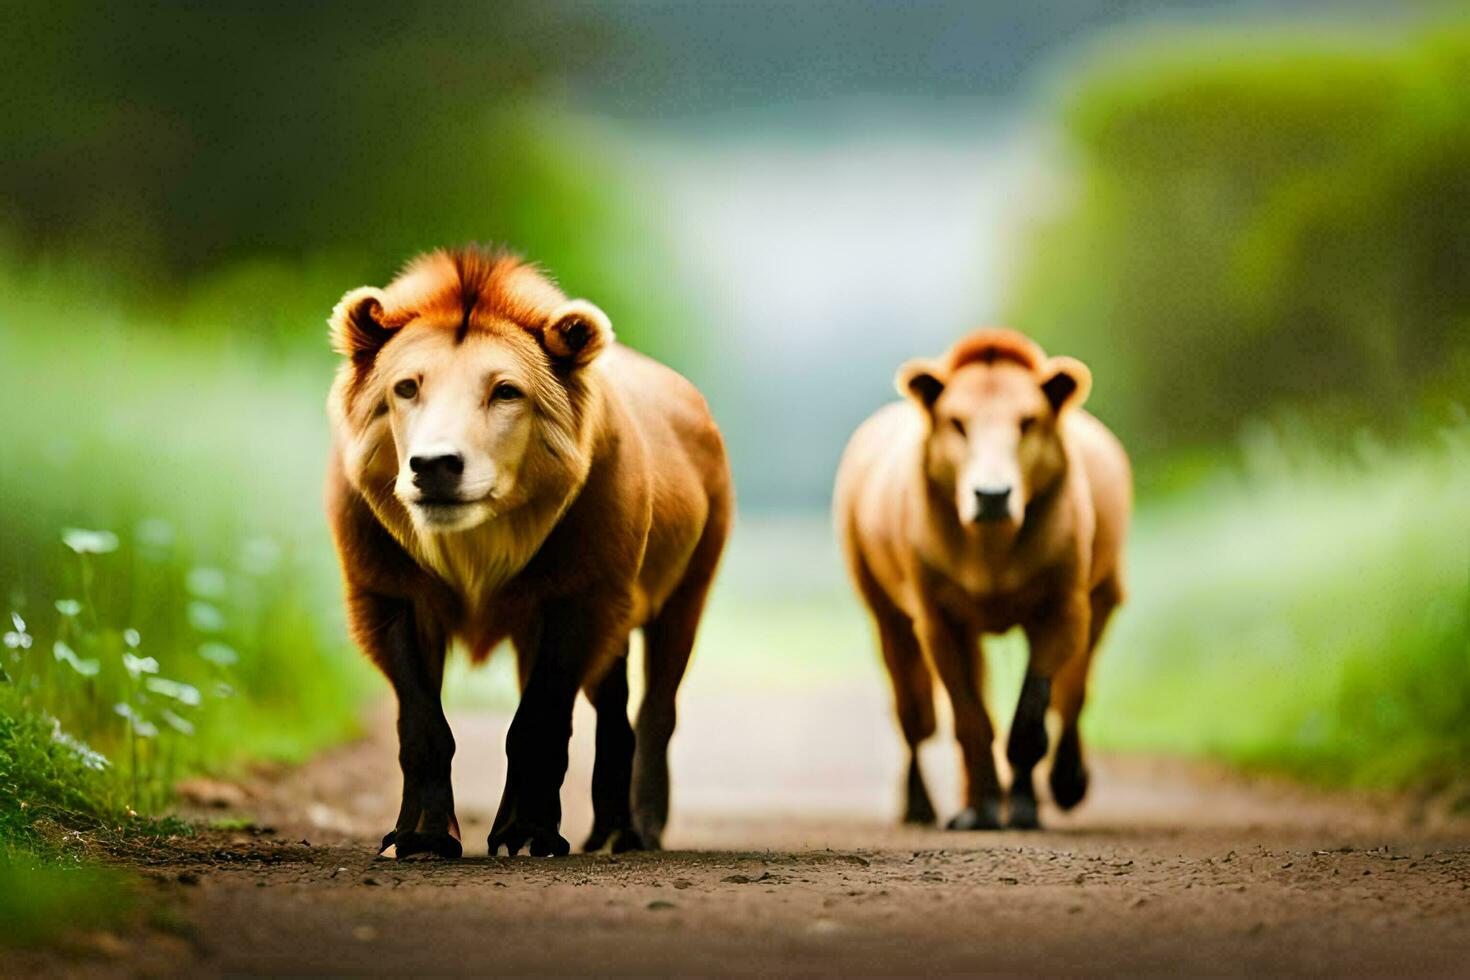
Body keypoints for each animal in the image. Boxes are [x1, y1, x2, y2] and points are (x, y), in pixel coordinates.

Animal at [326, 245, 729, 858]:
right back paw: (605, 830)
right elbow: (422, 727)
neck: (476, 544)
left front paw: (530, 832)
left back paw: (636, 830)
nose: (435, 465)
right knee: (613, 711)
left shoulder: (580, 595)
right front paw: (422, 836)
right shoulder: (387, 592)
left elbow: (537, 724)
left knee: (656, 712)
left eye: (506, 391)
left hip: (684, 593)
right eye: (407, 387)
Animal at [834, 327, 1128, 828]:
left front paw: (1025, 806)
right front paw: (985, 808)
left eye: (1028, 421)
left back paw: (1065, 782)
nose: (992, 494)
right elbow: (970, 719)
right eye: (957, 422)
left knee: (1074, 693)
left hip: (1104, 593)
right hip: (885, 611)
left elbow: (1032, 717)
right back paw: (924, 805)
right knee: (914, 717)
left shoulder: (1064, 607)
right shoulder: (936, 617)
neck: (991, 551)